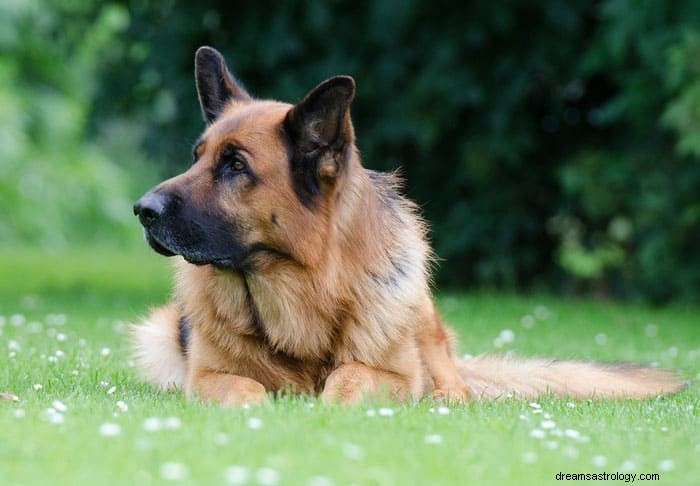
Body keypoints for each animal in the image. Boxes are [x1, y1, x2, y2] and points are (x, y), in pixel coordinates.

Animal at [131, 48, 684, 406]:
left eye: (235, 165)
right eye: (197, 157)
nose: (142, 210)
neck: (300, 291)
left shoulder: (391, 373)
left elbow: (350, 379)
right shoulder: (207, 376)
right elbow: (244, 388)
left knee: (452, 386)